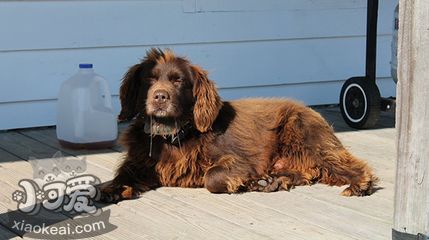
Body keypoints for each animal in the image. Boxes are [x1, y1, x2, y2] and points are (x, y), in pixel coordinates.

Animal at [98, 48, 376, 202]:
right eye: (149, 79)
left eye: (178, 81)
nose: (159, 97)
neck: (172, 135)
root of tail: (310, 110)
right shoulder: (140, 162)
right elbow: (122, 174)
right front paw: (111, 189)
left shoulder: (239, 161)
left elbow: (211, 177)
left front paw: (244, 182)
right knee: (307, 171)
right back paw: (273, 181)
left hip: (305, 135)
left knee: (346, 164)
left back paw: (360, 185)